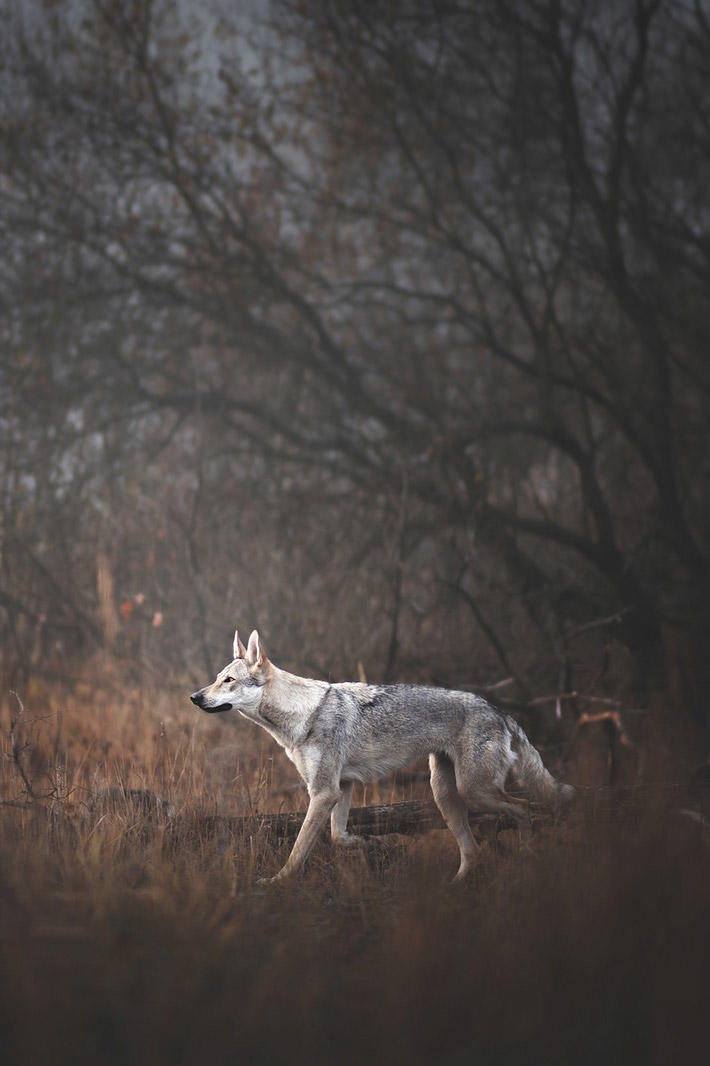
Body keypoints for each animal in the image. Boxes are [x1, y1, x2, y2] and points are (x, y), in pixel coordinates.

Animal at [189, 622, 575, 882]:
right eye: (216, 678)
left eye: (228, 681)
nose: (194, 697)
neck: (302, 714)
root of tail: (500, 710)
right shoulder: (341, 788)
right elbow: (339, 837)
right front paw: (372, 846)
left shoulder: (323, 792)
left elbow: (298, 848)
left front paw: (277, 882)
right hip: (446, 796)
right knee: (474, 851)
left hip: (474, 791)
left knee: (523, 808)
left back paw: (526, 857)